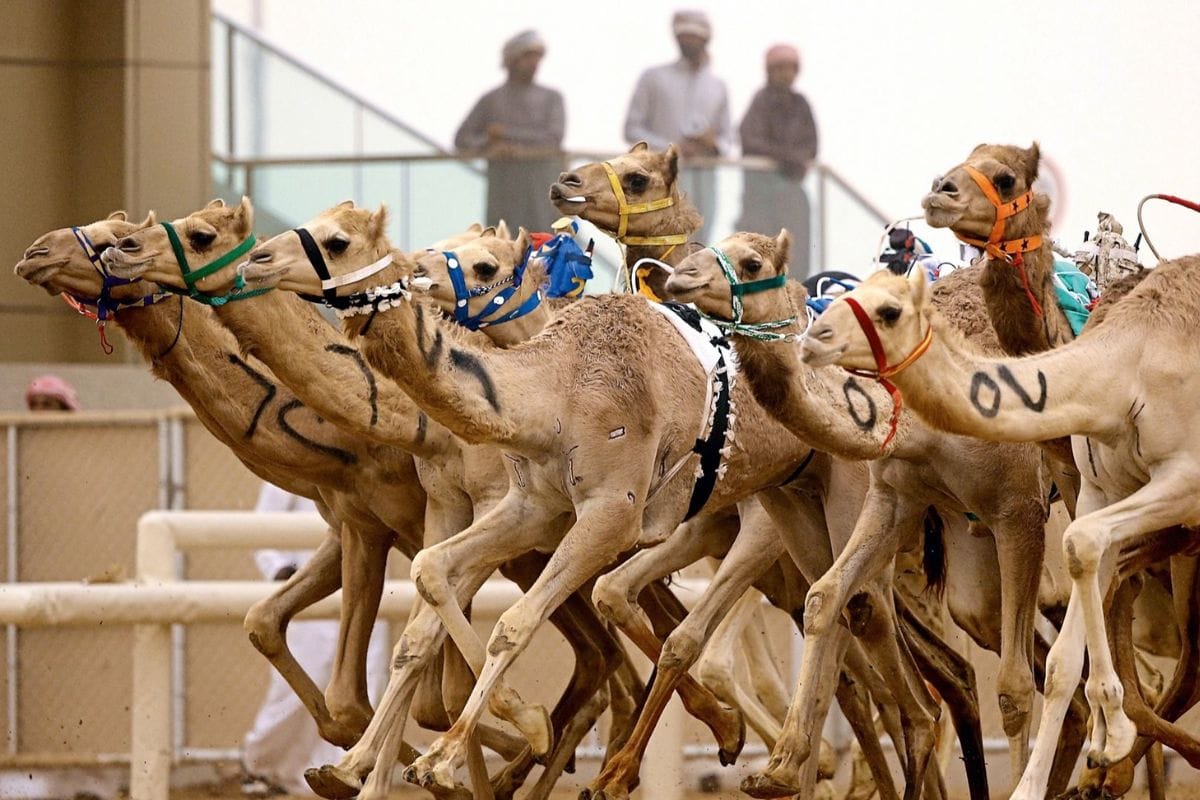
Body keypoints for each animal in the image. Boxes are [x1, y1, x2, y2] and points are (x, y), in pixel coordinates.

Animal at [800, 261, 1200, 800]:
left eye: (890, 311)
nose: (813, 339)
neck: (1126, 368)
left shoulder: (1180, 479)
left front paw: (1108, 740)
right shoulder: (1099, 490)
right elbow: (1065, 643)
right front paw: (1088, 754)